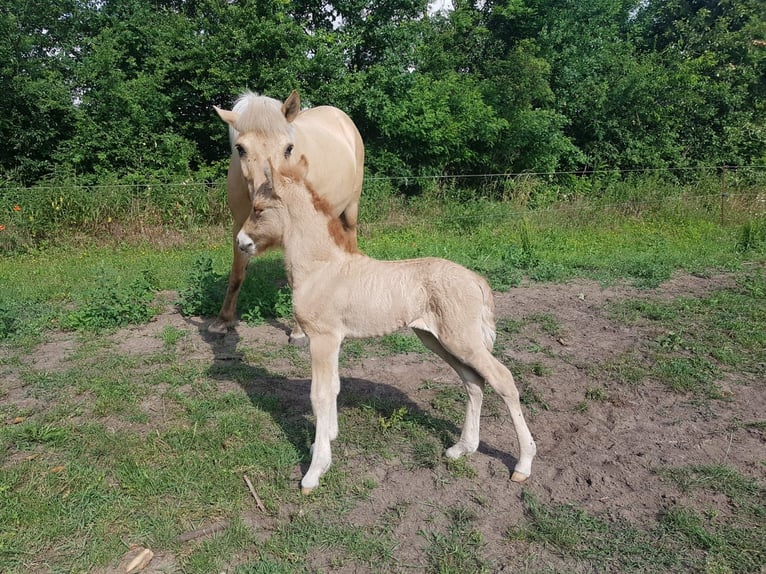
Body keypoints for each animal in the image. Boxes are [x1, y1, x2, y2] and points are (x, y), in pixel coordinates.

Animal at [210, 91, 366, 342]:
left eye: (288, 148)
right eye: (240, 149)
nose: (271, 195)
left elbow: (295, 277)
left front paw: (299, 330)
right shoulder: (239, 227)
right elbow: (236, 275)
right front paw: (222, 322)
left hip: (351, 207)